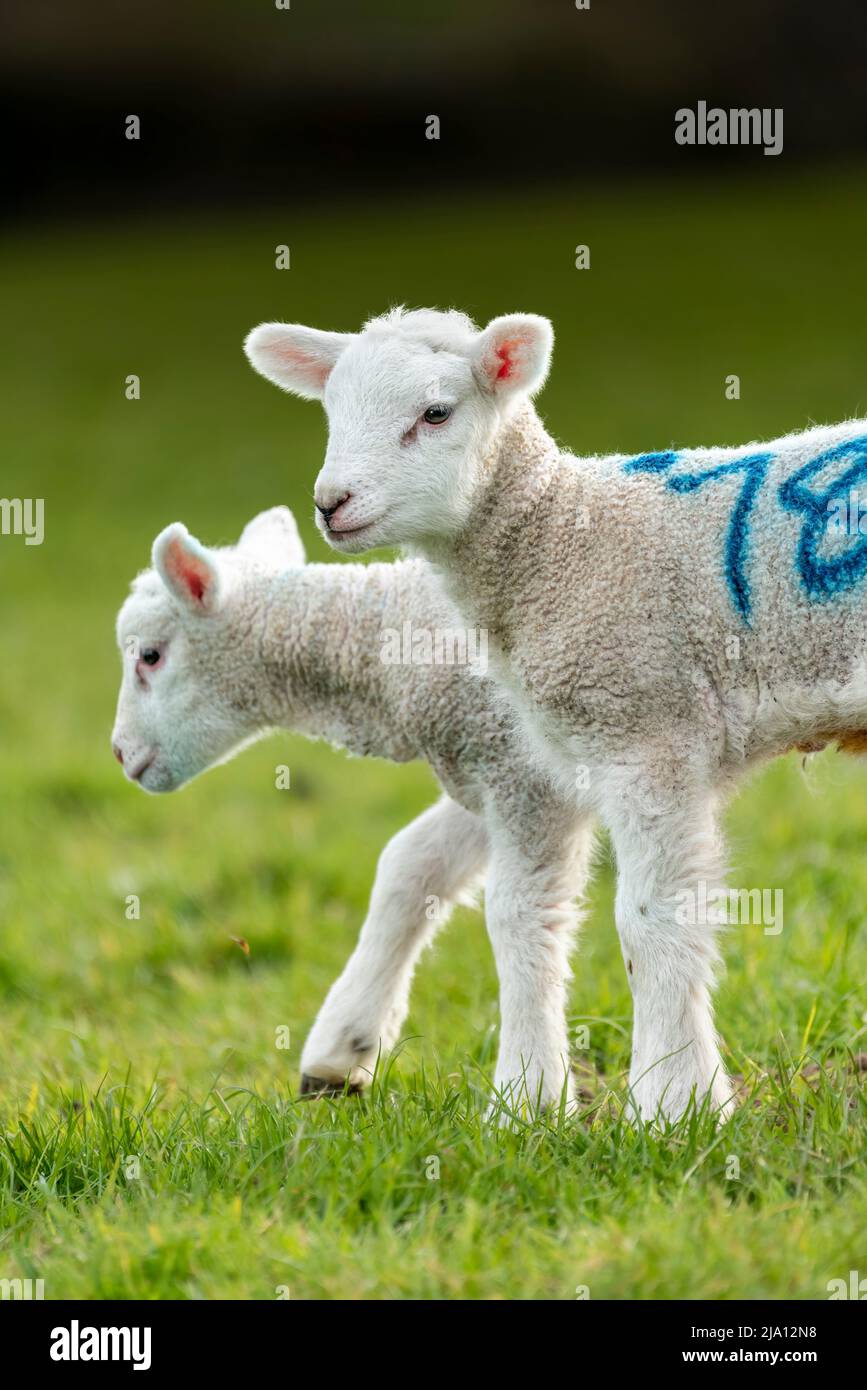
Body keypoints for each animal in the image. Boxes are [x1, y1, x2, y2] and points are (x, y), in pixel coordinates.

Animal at [109, 508, 589, 1106]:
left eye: (150, 656)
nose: (120, 752)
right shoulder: (490, 764)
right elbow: (408, 865)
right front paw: (342, 1050)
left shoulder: (527, 776)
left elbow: (519, 915)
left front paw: (531, 1094)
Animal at [244, 304, 867, 1117]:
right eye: (332, 409)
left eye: (436, 413)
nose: (331, 503)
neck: (562, 537)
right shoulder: (561, 753)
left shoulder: (645, 725)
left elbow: (651, 919)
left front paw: (674, 1106)